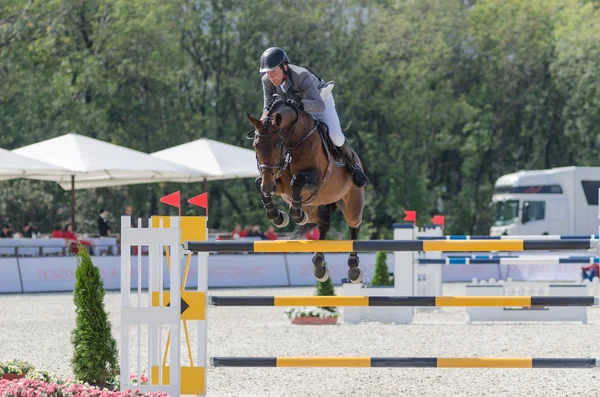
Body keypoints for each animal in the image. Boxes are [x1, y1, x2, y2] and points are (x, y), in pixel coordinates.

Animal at [244, 96, 366, 284]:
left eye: (277, 144)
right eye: (256, 145)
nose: (268, 187)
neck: (294, 141)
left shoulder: (315, 180)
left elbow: (297, 180)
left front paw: (296, 215)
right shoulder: (278, 183)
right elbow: (259, 183)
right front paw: (279, 217)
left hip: (352, 204)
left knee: (354, 226)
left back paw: (353, 270)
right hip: (314, 207)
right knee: (324, 223)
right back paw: (319, 266)